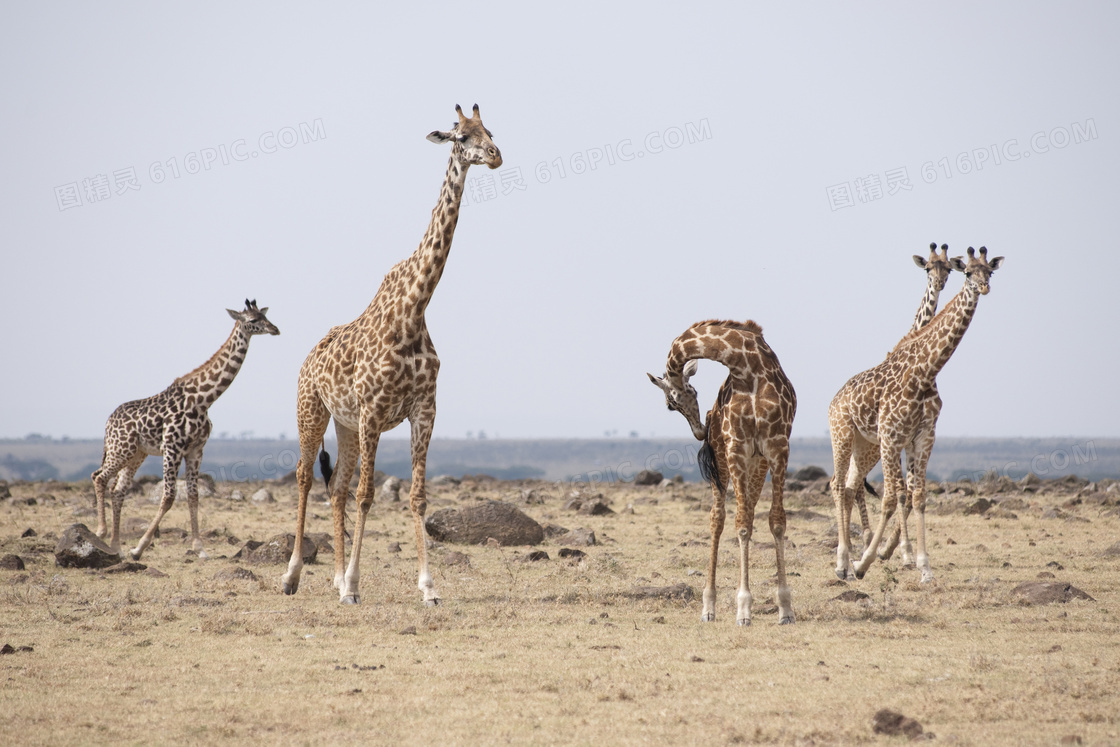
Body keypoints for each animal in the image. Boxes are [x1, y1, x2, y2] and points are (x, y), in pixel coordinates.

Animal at [91, 300, 280, 557]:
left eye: (265, 316)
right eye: (252, 320)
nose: (275, 329)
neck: (204, 399)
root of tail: (108, 422)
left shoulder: (196, 449)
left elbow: (193, 495)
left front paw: (199, 547)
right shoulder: (172, 447)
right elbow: (169, 497)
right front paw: (139, 548)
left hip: (136, 454)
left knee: (118, 489)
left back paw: (116, 545)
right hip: (120, 448)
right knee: (99, 477)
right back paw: (102, 533)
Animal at [280, 106, 504, 609]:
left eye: (490, 131)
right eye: (461, 137)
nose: (496, 155)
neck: (414, 308)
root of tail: (308, 358)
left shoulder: (424, 410)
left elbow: (417, 497)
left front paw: (429, 588)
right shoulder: (373, 411)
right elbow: (367, 496)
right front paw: (355, 587)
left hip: (344, 424)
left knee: (337, 488)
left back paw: (335, 577)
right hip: (313, 410)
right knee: (306, 477)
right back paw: (293, 576)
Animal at [649, 320, 797, 627]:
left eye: (670, 404)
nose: (699, 431)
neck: (746, 367)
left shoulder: (777, 446)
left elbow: (776, 521)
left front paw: (786, 609)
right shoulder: (735, 446)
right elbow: (740, 525)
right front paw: (743, 610)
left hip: (757, 463)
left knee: (749, 509)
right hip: (722, 458)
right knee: (717, 518)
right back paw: (708, 608)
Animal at [828, 246, 1003, 582]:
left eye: (989, 271)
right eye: (967, 272)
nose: (983, 288)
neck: (926, 371)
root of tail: (835, 398)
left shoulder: (922, 436)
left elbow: (917, 495)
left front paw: (923, 565)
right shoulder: (891, 436)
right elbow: (892, 496)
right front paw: (869, 560)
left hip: (864, 445)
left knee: (850, 487)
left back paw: (853, 554)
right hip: (842, 435)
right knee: (839, 485)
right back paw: (844, 561)